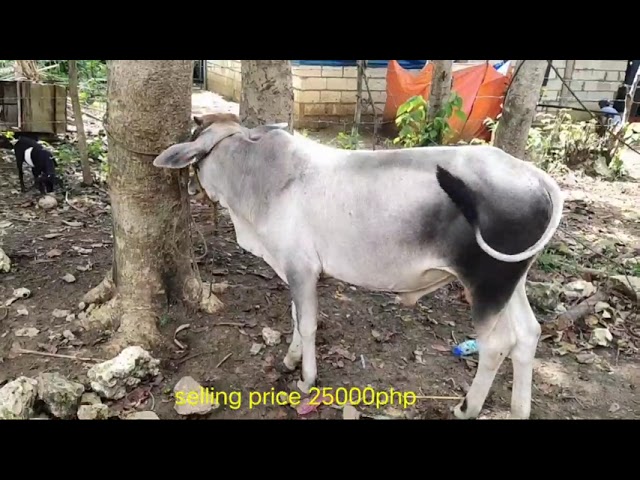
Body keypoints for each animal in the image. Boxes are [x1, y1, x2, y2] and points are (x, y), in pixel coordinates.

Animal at [155, 114, 564, 418]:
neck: (257, 176)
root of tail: (537, 176)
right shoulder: (292, 271)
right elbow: (294, 318)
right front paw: (289, 359)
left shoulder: (302, 268)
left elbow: (307, 324)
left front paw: (306, 379)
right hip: (511, 284)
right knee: (528, 334)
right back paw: (519, 410)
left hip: (486, 284)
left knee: (496, 345)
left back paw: (467, 407)